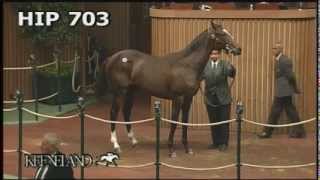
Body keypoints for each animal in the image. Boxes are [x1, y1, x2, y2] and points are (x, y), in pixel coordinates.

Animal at [96, 21, 241, 158]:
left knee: (126, 111)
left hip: (131, 91)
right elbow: (174, 122)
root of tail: (112, 58)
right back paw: (116, 145)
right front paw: (171, 150)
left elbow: (184, 122)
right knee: (113, 113)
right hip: (119, 92)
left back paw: (133, 141)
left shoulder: (188, 98)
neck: (187, 65)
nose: (238, 49)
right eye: (222, 34)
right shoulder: (178, 98)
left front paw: (187, 148)